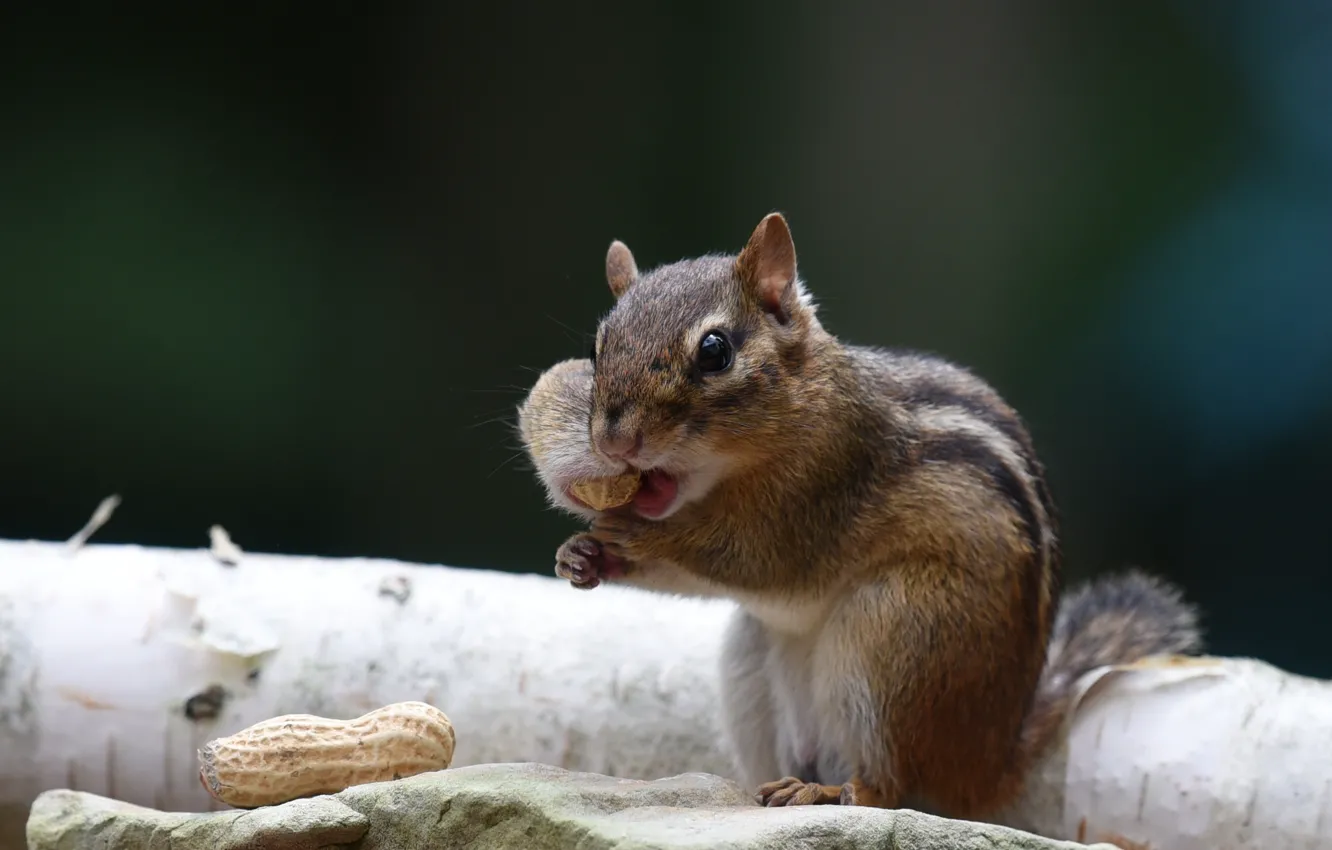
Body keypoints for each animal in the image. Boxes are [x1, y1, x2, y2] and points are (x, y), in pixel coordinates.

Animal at [516, 212, 1203, 819]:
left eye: (714, 351)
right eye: (598, 346)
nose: (614, 441)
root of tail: (988, 762)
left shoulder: (823, 485)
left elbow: (750, 557)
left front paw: (632, 534)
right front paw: (580, 556)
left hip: (895, 636)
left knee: (886, 787)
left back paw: (827, 791)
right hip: (752, 659)